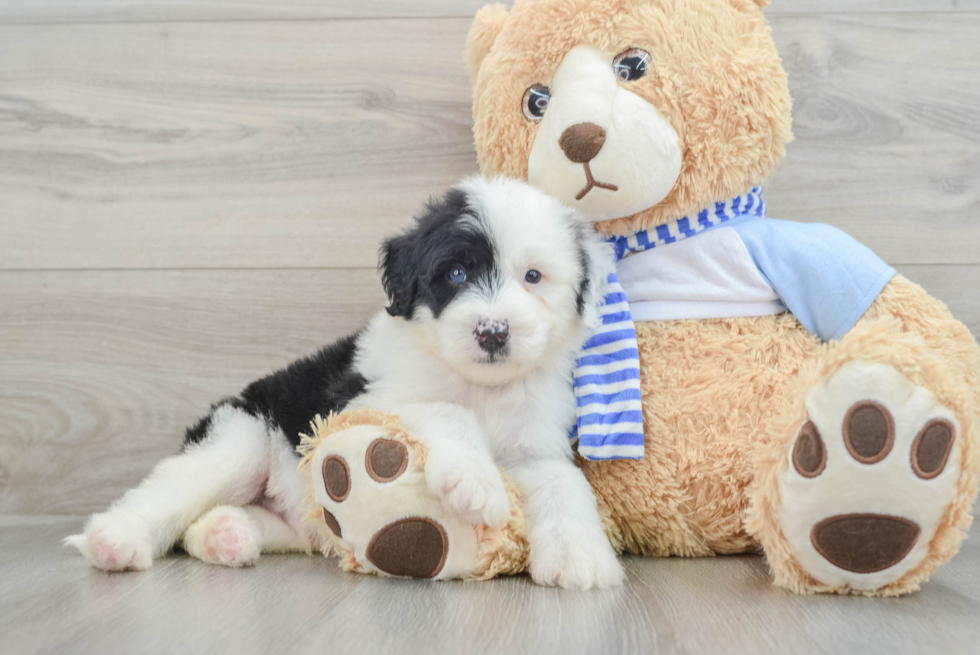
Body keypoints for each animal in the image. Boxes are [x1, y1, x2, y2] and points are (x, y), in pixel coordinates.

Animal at [69, 177, 624, 592]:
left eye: (533, 277)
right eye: (456, 274)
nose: (492, 331)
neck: (480, 385)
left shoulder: (533, 445)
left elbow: (562, 481)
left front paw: (580, 557)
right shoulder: (362, 401)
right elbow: (443, 409)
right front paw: (475, 481)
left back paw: (227, 534)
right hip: (242, 437)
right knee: (172, 490)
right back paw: (113, 540)